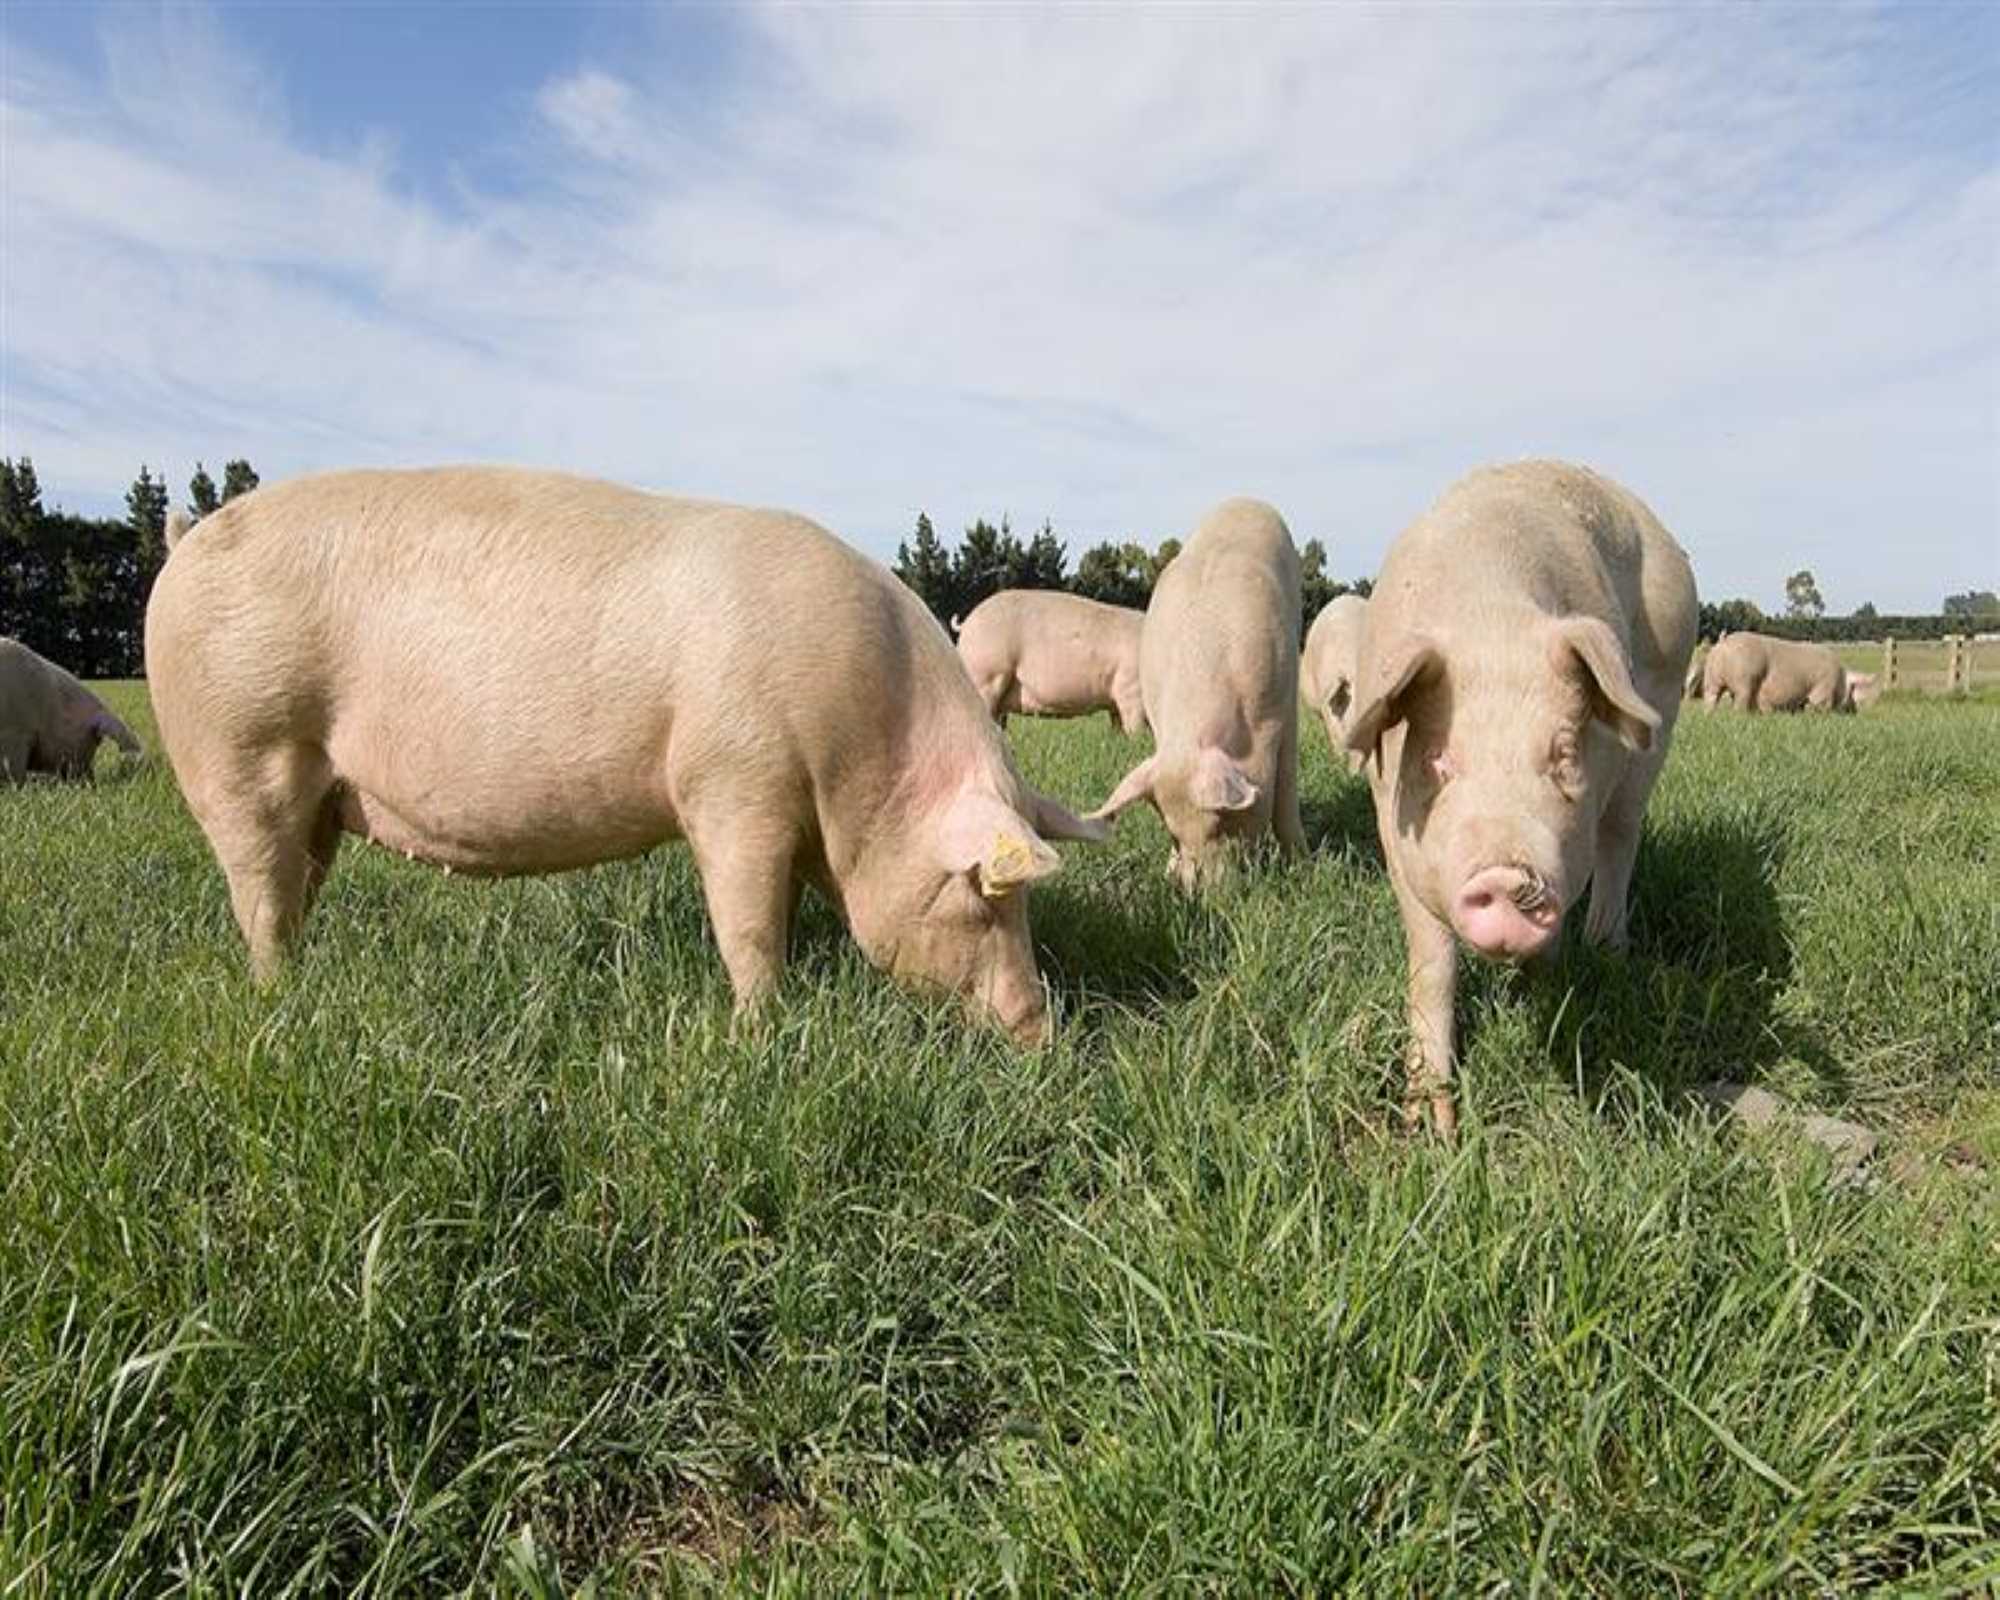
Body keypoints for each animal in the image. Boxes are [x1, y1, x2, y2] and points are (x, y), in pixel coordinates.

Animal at [143, 467, 1107, 1041]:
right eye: (983, 894)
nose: (1041, 1031)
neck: (859, 762)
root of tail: (186, 538)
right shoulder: (732, 781)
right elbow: (748, 922)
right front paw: (762, 1029)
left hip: (313, 791)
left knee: (295, 884)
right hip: (240, 749)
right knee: (259, 891)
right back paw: (277, 1000)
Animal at [1090, 497, 1305, 888]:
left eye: (1221, 823)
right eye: (1172, 831)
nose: (1195, 891)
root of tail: (1244, 498)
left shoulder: (1283, 708)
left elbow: (1284, 795)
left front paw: (1303, 863)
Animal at [1344, 462, 1697, 1135]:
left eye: (1563, 756)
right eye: (1438, 760)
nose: (1508, 876)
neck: (1490, 620)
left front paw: (1546, 998)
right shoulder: (1394, 836)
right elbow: (1433, 963)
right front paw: (1430, 1124)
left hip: (1661, 710)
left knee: (1620, 838)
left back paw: (1607, 952)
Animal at [1700, 632, 1856, 713]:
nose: (1853, 711)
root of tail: (1724, 642)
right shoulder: (1823, 691)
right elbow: (1819, 706)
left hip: (1711, 678)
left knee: (1711, 697)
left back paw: (1709, 715)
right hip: (1743, 680)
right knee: (1740, 702)